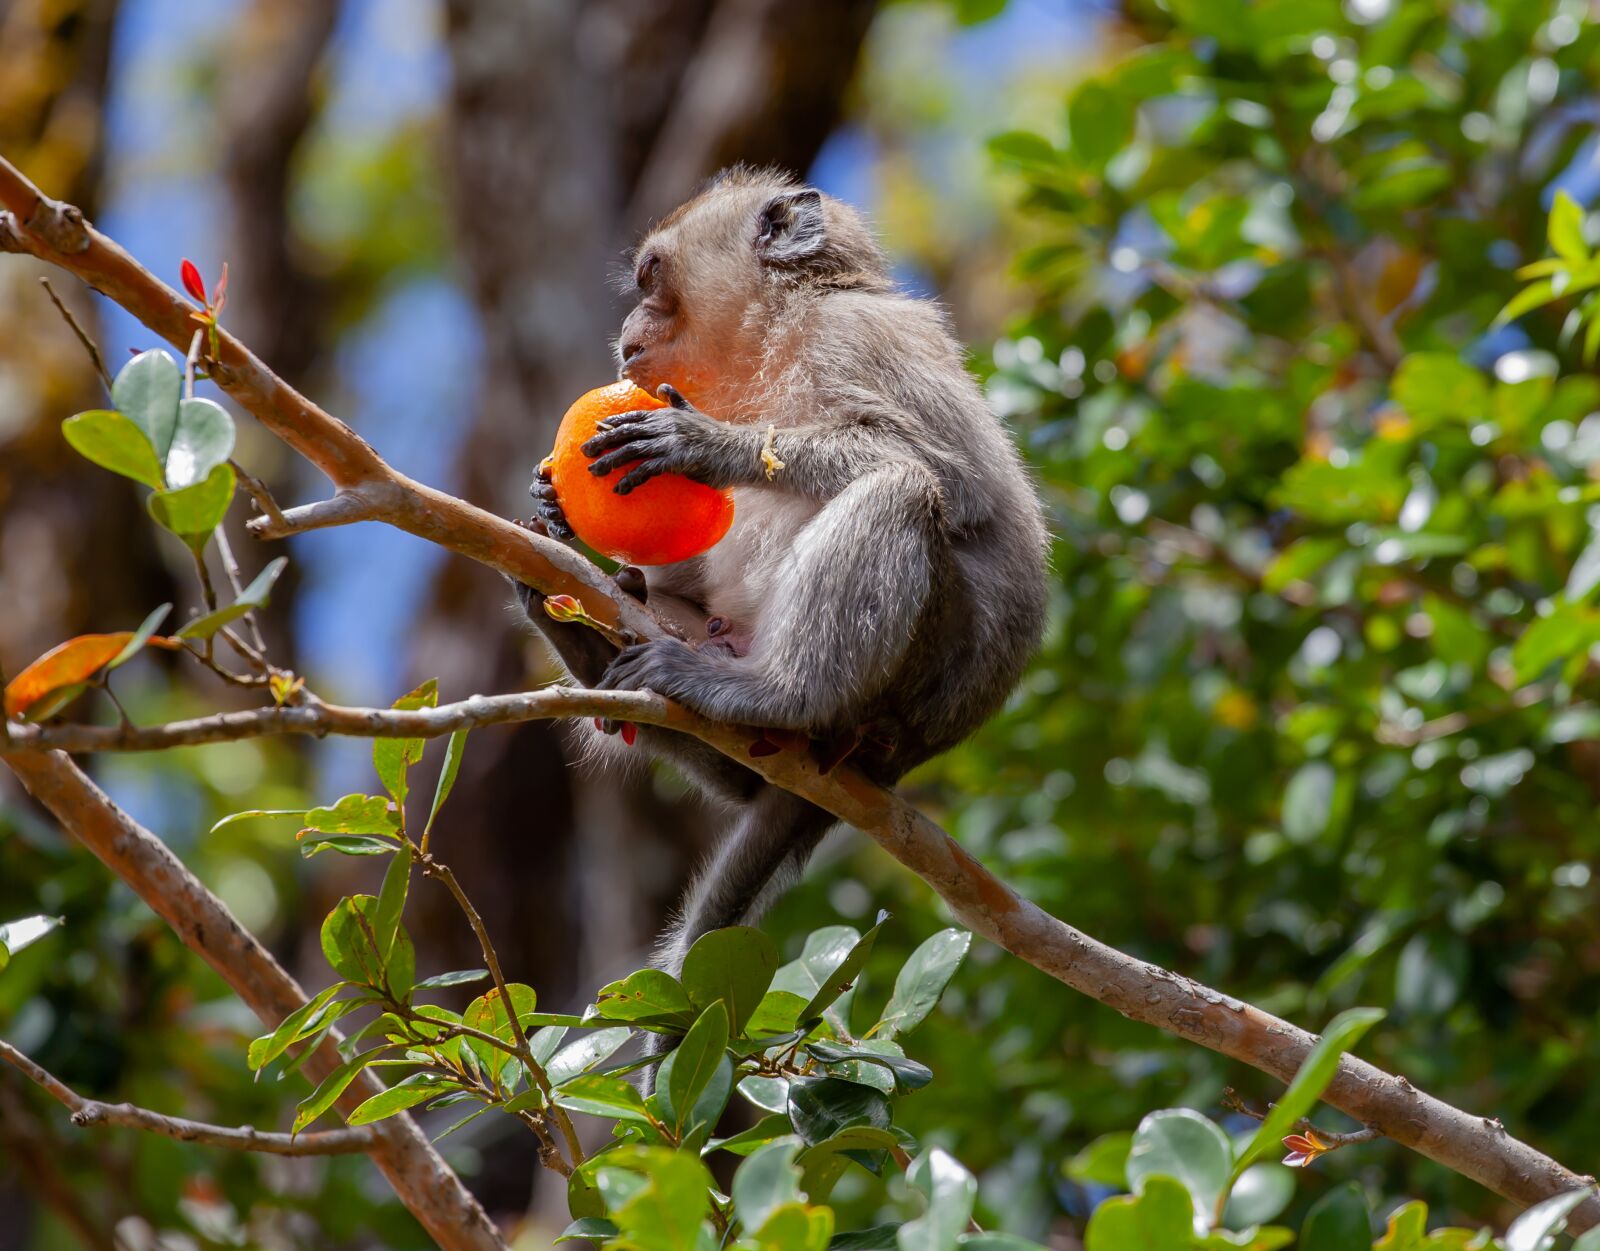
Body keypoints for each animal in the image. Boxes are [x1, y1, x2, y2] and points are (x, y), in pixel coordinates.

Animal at [512, 168, 1049, 979]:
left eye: (651, 277)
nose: (627, 330)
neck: (780, 330)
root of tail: (906, 758)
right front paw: (553, 507)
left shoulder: (855, 339)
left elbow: (949, 482)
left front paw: (708, 443)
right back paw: (587, 637)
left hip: (914, 681)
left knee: (901, 493)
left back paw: (778, 693)